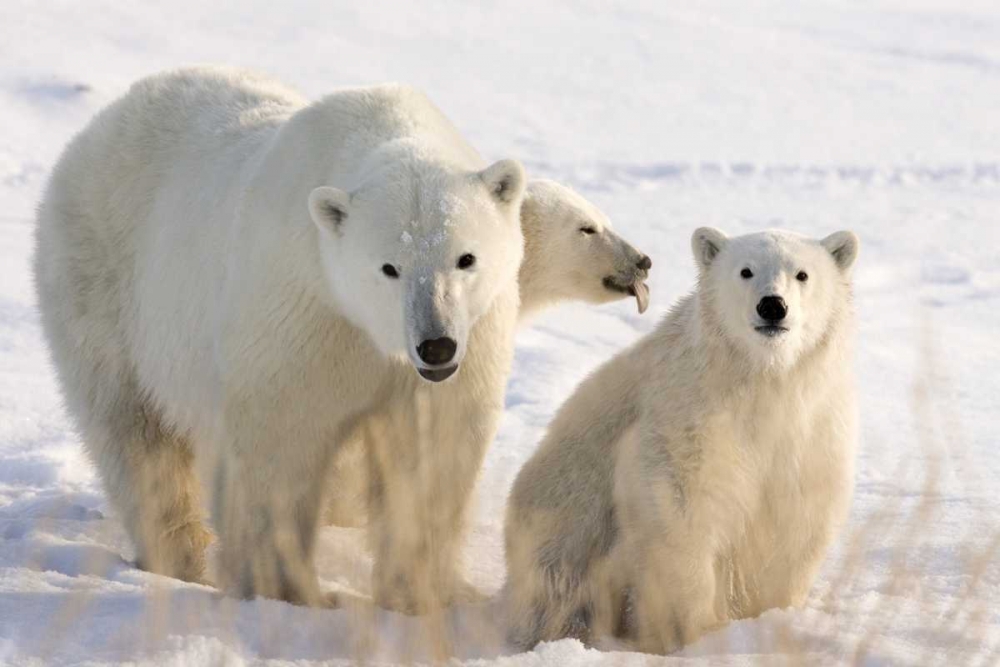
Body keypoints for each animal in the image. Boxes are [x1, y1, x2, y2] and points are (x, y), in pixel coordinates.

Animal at [32, 66, 528, 612]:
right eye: (388, 267)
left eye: (466, 258)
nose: (435, 344)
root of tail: (103, 122)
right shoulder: (305, 313)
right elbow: (282, 445)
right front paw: (291, 591)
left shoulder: (470, 336)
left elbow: (431, 449)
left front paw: (423, 593)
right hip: (103, 284)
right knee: (134, 436)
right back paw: (178, 558)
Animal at [508, 228, 860, 652]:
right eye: (745, 271)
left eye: (802, 274)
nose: (772, 306)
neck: (760, 376)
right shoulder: (692, 413)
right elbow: (681, 507)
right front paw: (693, 632)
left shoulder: (810, 426)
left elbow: (798, 513)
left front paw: (772, 617)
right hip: (561, 528)